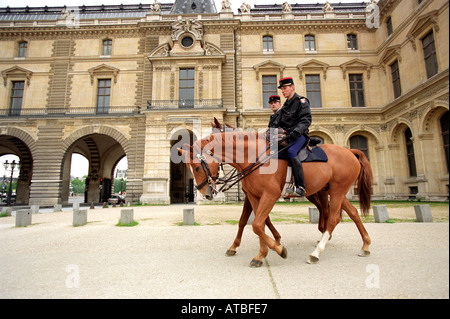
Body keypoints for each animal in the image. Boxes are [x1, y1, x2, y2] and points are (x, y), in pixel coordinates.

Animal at [178, 131, 372, 266]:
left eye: (197, 167)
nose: (205, 194)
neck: (254, 157)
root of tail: (349, 151)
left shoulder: (269, 195)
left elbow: (256, 224)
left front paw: (279, 249)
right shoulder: (254, 196)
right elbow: (258, 224)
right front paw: (261, 255)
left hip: (337, 190)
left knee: (333, 218)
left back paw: (316, 252)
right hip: (335, 191)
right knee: (353, 213)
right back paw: (365, 245)